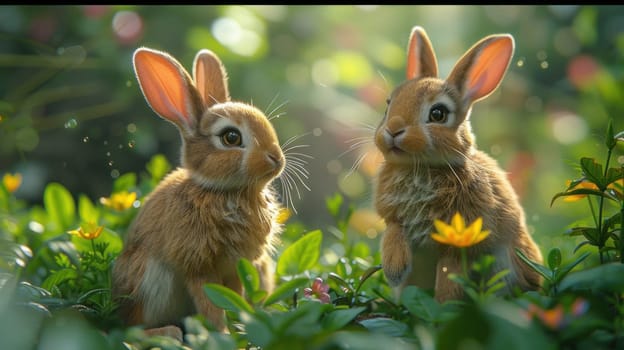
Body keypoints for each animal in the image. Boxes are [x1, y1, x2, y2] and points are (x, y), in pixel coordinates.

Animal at [112, 47, 286, 336]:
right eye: (231, 137)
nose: (277, 158)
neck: (225, 192)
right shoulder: (198, 265)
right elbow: (210, 302)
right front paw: (224, 333)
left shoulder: (236, 268)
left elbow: (233, 296)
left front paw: (239, 323)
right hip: (148, 280)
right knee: (132, 328)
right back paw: (167, 333)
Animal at [372, 26, 544, 302]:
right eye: (389, 104)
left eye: (438, 114)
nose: (393, 129)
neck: (421, 167)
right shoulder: (395, 219)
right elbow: (393, 232)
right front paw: (394, 270)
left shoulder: (461, 239)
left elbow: (449, 272)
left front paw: (445, 303)